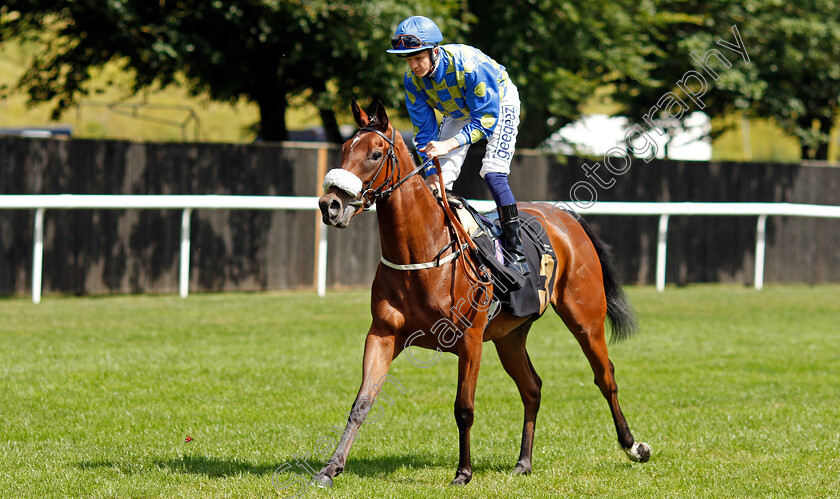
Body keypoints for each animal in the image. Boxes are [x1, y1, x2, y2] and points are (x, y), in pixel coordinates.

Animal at [316, 100, 648, 488]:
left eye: (375, 153)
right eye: (344, 149)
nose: (330, 206)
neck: (424, 253)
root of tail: (564, 215)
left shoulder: (470, 339)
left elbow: (464, 408)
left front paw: (463, 472)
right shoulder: (383, 334)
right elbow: (362, 403)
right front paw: (331, 469)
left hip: (585, 318)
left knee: (605, 377)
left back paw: (633, 446)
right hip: (510, 336)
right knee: (532, 387)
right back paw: (523, 462)